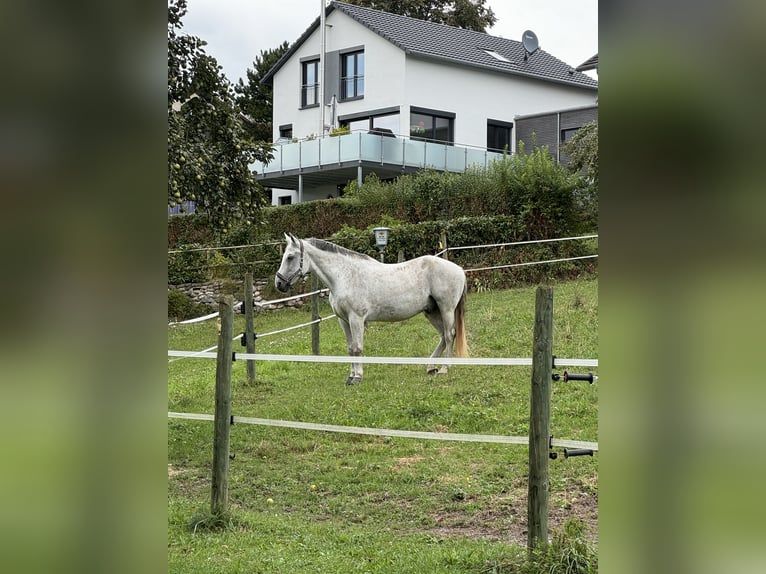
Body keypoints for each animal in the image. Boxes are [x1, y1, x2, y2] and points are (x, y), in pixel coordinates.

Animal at [276, 232, 468, 384]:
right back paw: (430, 367)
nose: (279, 284)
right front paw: (351, 376)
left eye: (290, 257)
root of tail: (459, 269)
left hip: (446, 309)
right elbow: (350, 348)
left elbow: (357, 347)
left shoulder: (356, 318)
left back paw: (445, 368)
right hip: (432, 312)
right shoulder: (343, 320)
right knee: (443, 336)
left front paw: (357, 377)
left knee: (449, 335)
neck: (344, 275)